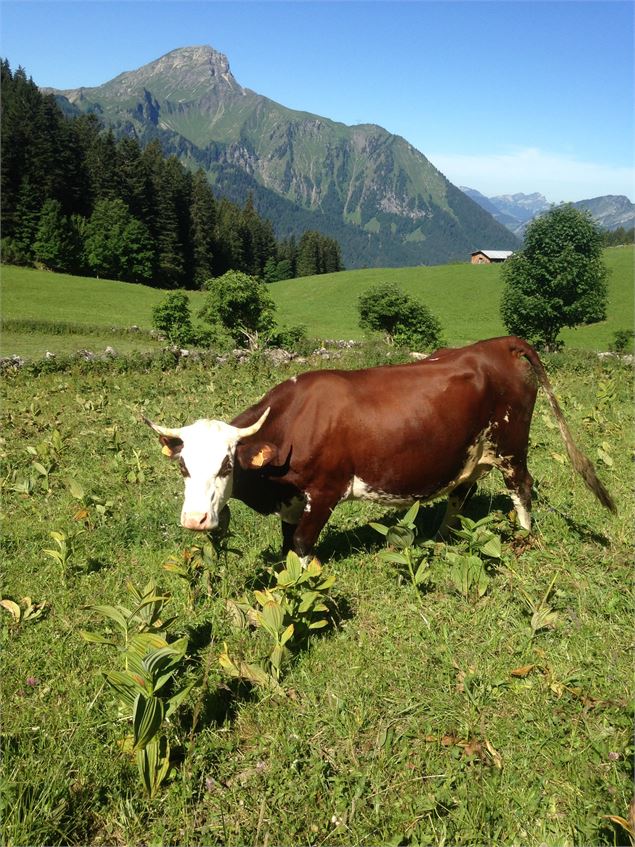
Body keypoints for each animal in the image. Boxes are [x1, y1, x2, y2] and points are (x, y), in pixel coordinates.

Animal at [145, 334, 616, 560]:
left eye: (227, 466)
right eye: (184, 467)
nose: (195, 520)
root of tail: (498, 344)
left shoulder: (326, 492)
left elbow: (302, 545)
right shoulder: (292, 500)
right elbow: (286, 544)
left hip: (511, 446)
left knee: (522, 487)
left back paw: (523, 537)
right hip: (470, 453)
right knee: (461, 493)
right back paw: (439, 537)